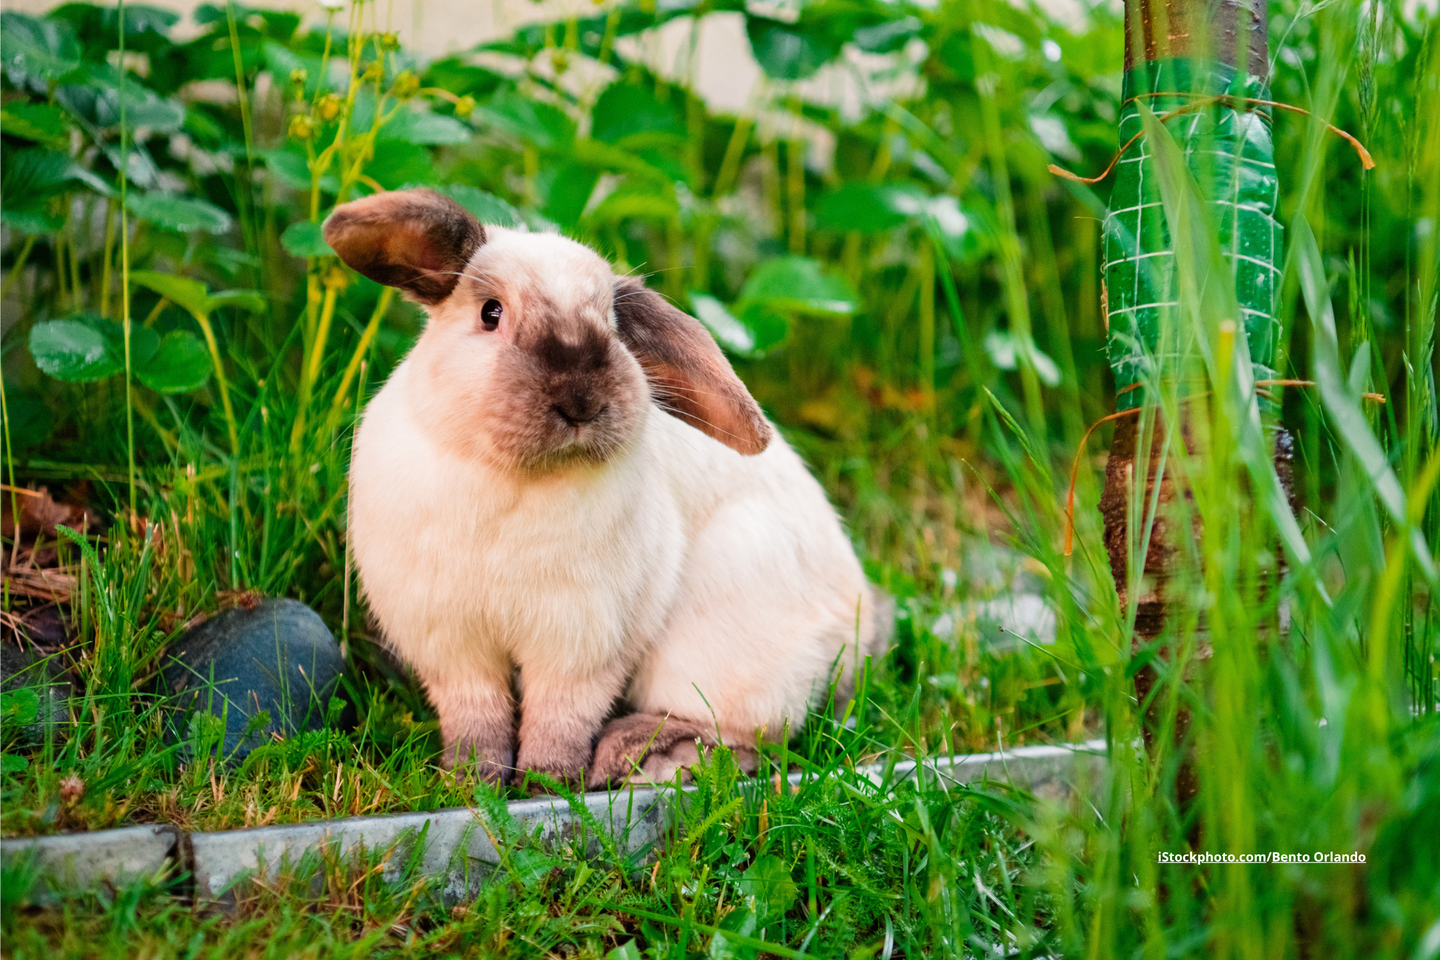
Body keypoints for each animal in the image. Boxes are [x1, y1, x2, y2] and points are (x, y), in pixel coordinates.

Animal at [326, 188, 878, 787]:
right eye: (490, 313)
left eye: (613, 327)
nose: (580, 400)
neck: (516, 480)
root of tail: (859, 630)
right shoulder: (452, 644)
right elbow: (477, 715)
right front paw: (473, 779)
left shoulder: (582, 642)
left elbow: (560, 716)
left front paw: (547, 782)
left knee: (741, 736)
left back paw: (638, 754)